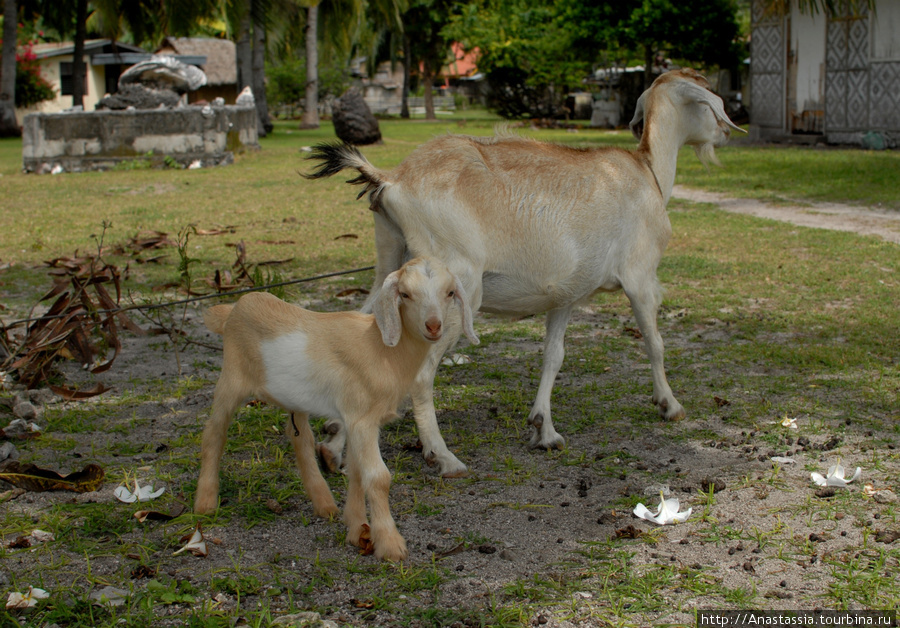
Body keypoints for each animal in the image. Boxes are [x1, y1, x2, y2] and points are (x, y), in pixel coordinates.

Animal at [192, 258, 478, 560]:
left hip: (295, 397)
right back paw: (206, 503)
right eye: (405, 294)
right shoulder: (361, 419)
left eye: (449, 292)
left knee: (300, 438)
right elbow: (377, 477)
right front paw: (390, 544)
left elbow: (356, 471)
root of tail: (233, 310)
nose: (433, 326)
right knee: (214, 432)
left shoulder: (356, 419)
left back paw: (324, 503)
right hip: (231, 379)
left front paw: (357, 528)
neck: (380, 349)